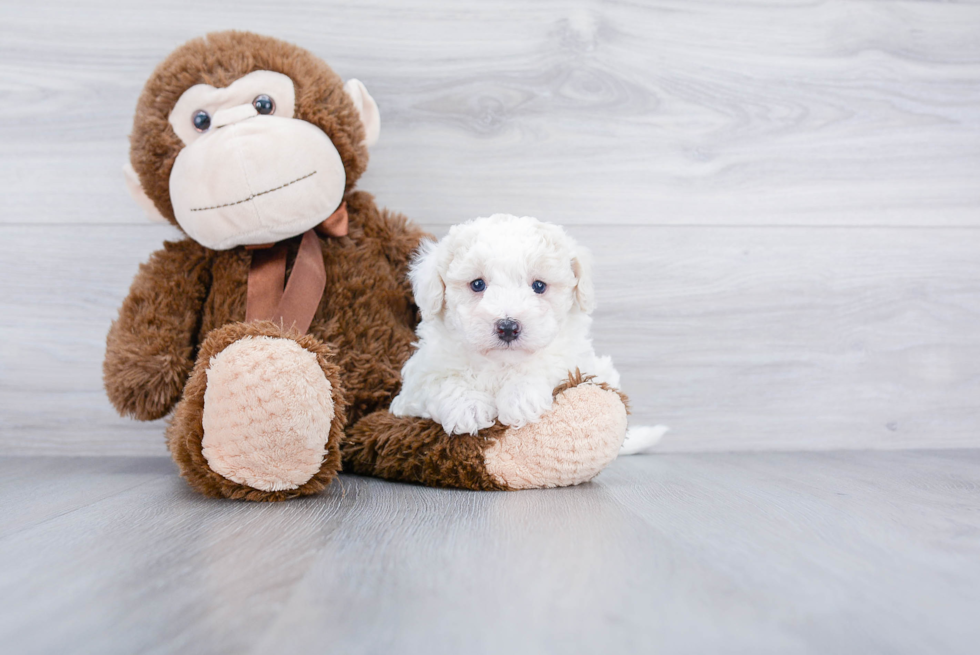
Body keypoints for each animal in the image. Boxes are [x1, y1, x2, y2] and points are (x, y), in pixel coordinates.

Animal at [390, 213, 668, 454]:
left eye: (539, 286)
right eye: (477, 284)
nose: (508, 327)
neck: (500, 363)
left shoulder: (577, 360)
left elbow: (546, 365)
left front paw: (520, 399)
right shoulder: (418, 381)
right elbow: (442, 381)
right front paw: (467, 407)